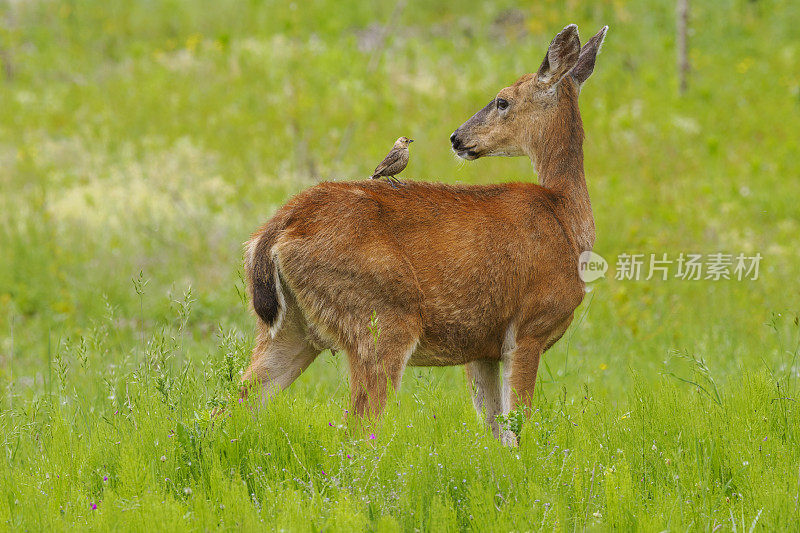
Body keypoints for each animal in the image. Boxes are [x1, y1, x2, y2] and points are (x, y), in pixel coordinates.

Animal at [241, 22, 608, 442]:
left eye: (501, 101)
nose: (456, 137)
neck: (568, 221)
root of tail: (276, 229)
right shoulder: (532, 324)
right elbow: (520, 426)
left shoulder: (483, 348)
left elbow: (497, 430)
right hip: (380, 319)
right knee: (357, 427)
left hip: (288, 329)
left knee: (237, 402)